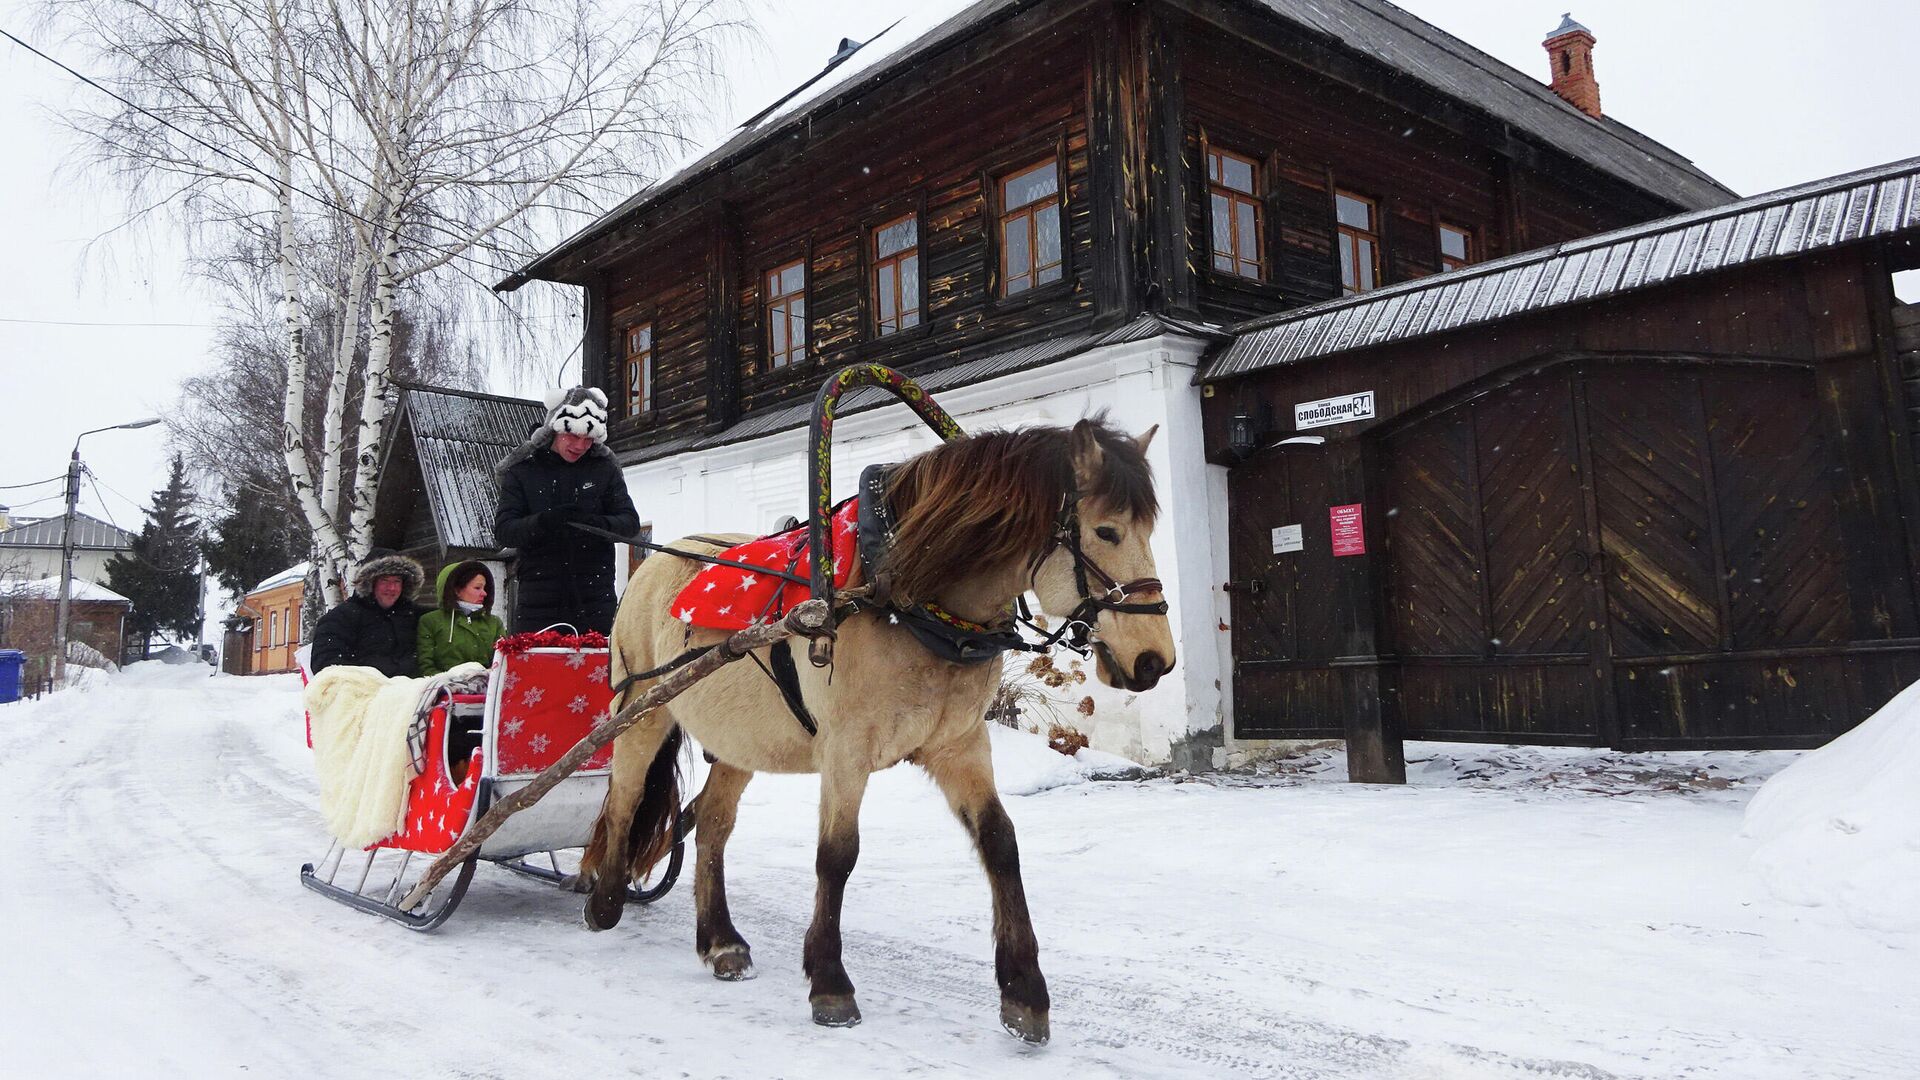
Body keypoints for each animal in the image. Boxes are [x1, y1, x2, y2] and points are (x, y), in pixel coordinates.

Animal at [576, 417, 1175, 1037]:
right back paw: (606, 899)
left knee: (713, 824)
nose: (1154, 660)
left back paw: (719, 940)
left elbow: (1000, 842)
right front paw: (830, 982)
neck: (904, 601)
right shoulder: (847, 750)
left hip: (741, 739)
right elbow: (837, 855)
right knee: (623, 802)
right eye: (1106, 531)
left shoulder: (959, 744)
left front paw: (1024, 990)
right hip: (642, 710)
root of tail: (651, 566)